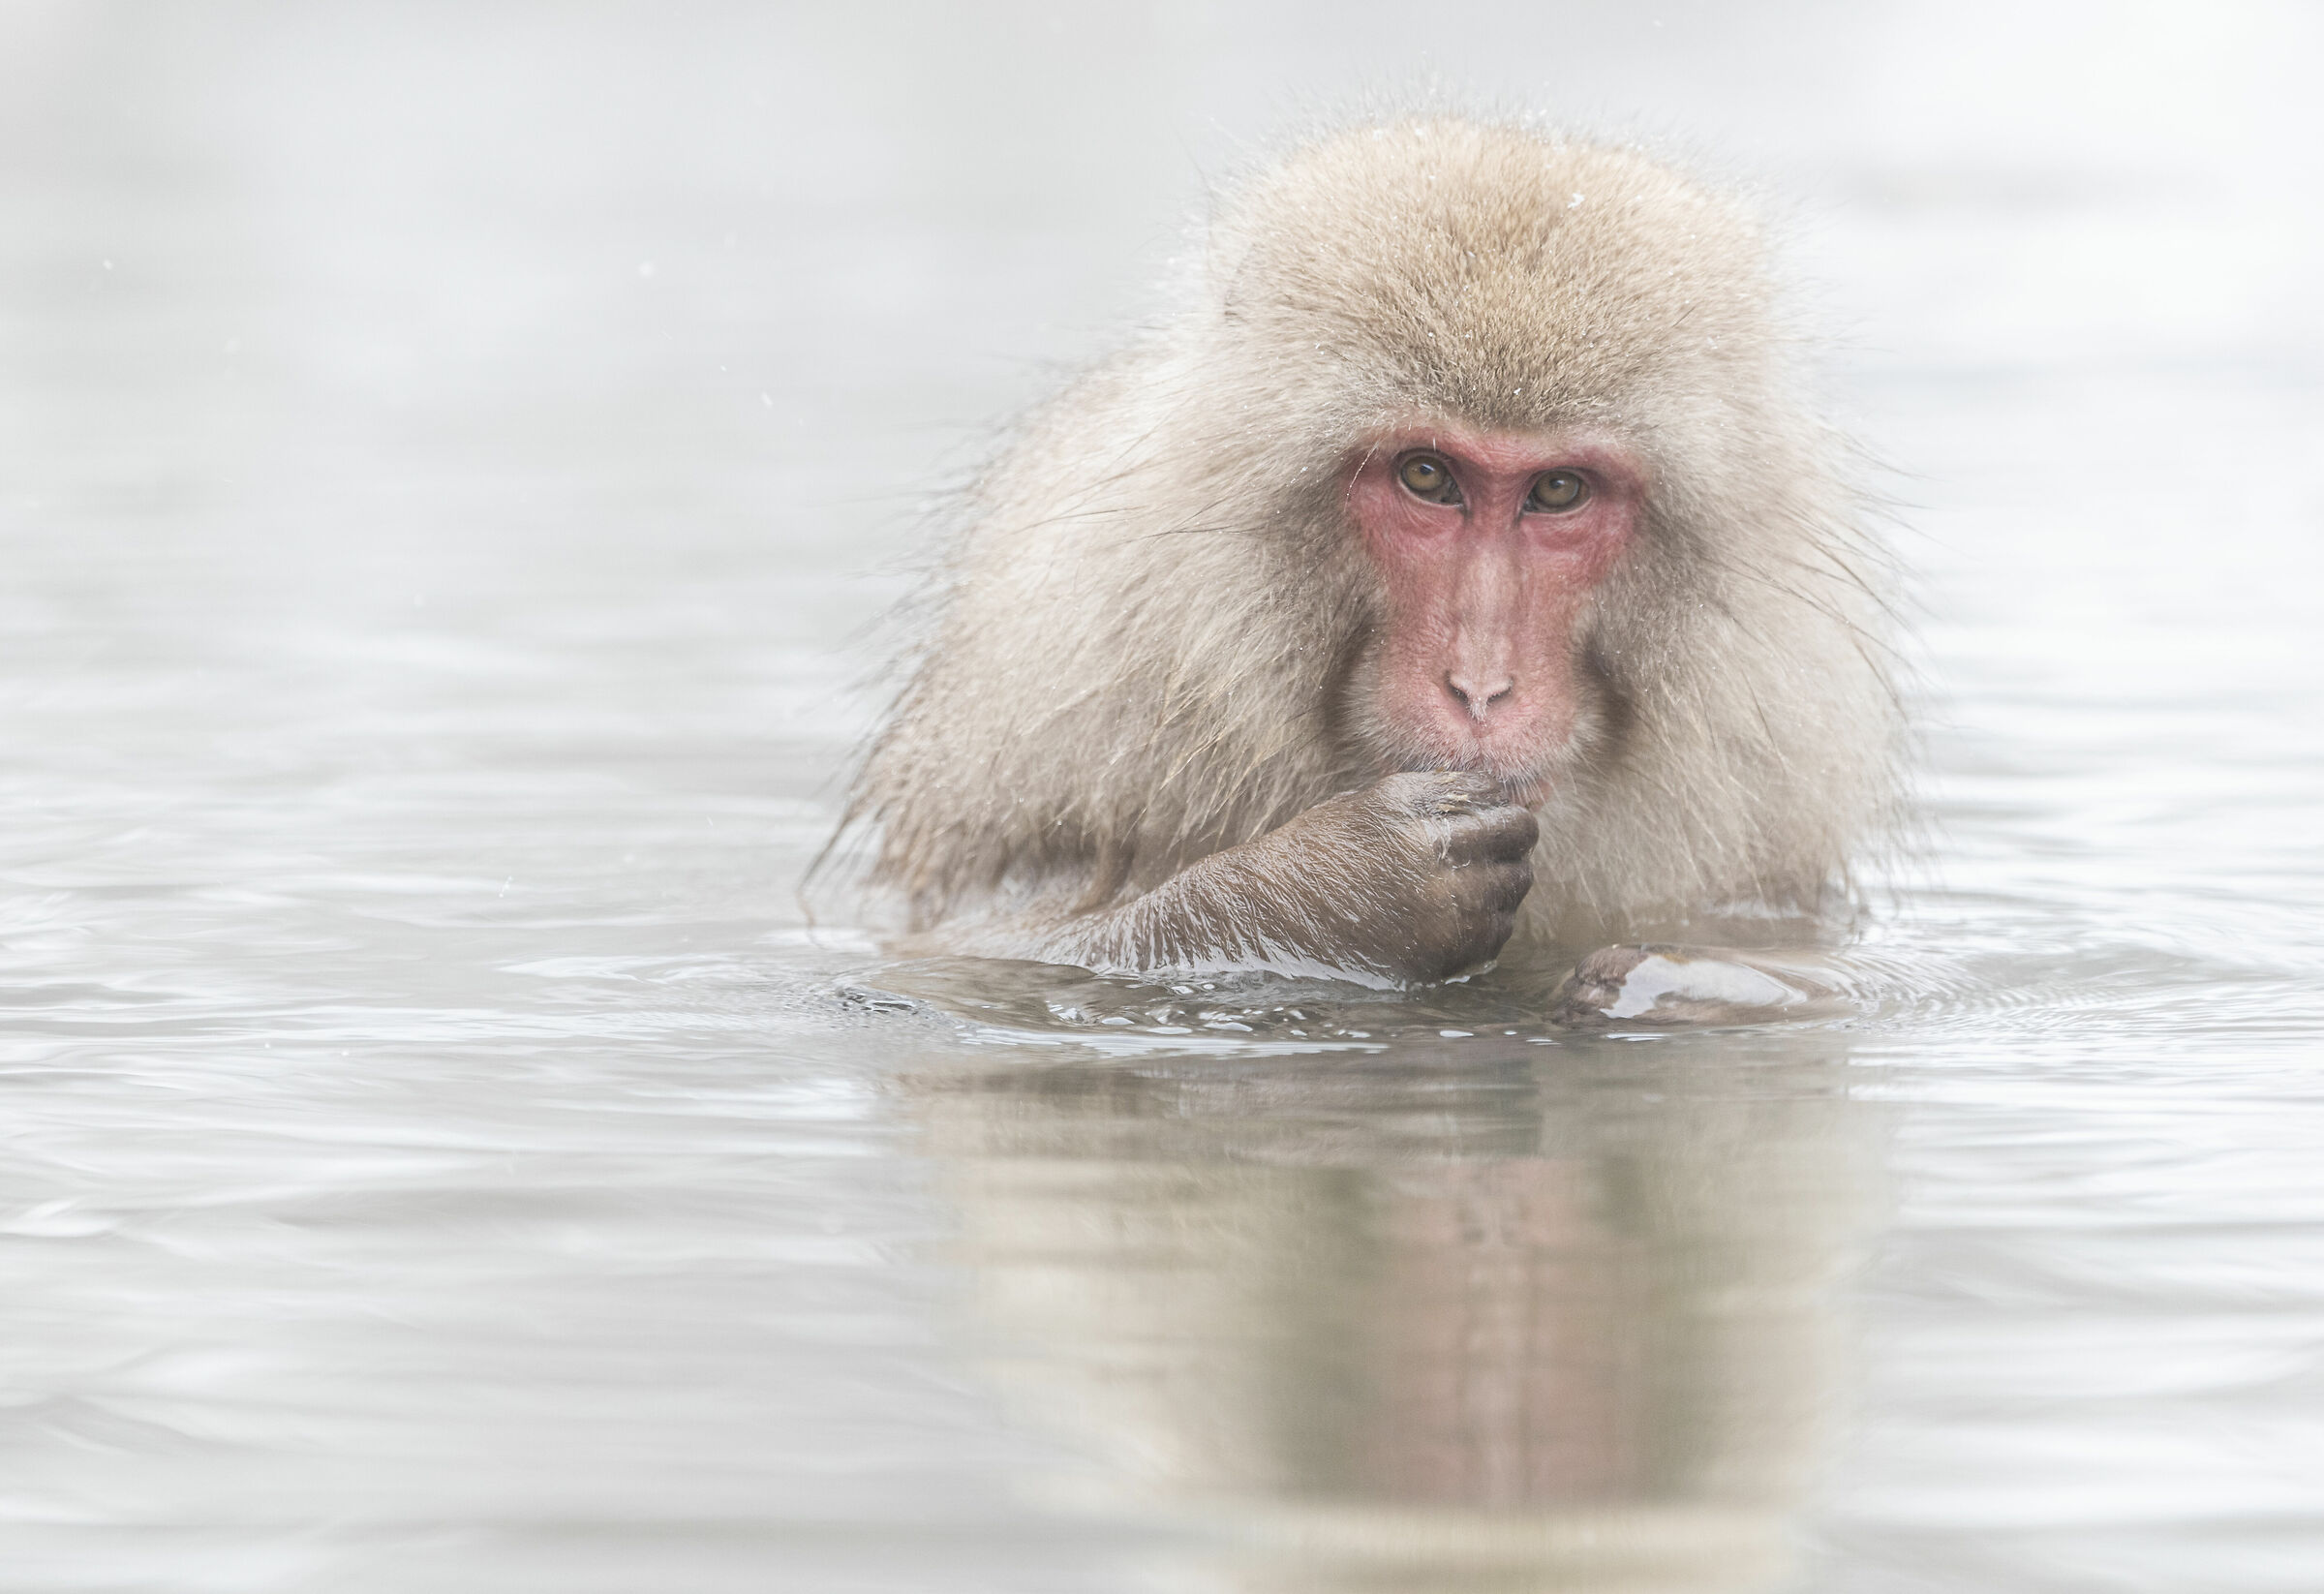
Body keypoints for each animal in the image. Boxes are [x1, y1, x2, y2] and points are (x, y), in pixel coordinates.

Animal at [839, 117, 1899, 1001]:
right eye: (1428, 475)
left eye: (1558, 491)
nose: (1481, 687)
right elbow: (963, 949)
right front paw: (1335, 889)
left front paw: (1684, 979)